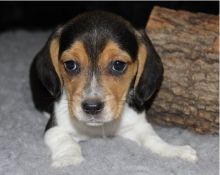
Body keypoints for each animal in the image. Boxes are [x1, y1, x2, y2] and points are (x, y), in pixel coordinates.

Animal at [29, 10, 198, 167]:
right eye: (70, 65)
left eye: (118, 65)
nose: (92, 107)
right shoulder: (55, 128)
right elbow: (66, 142)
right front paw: (69, 159)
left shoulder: (139, 124)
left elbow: (153, 139)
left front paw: (174, 150)